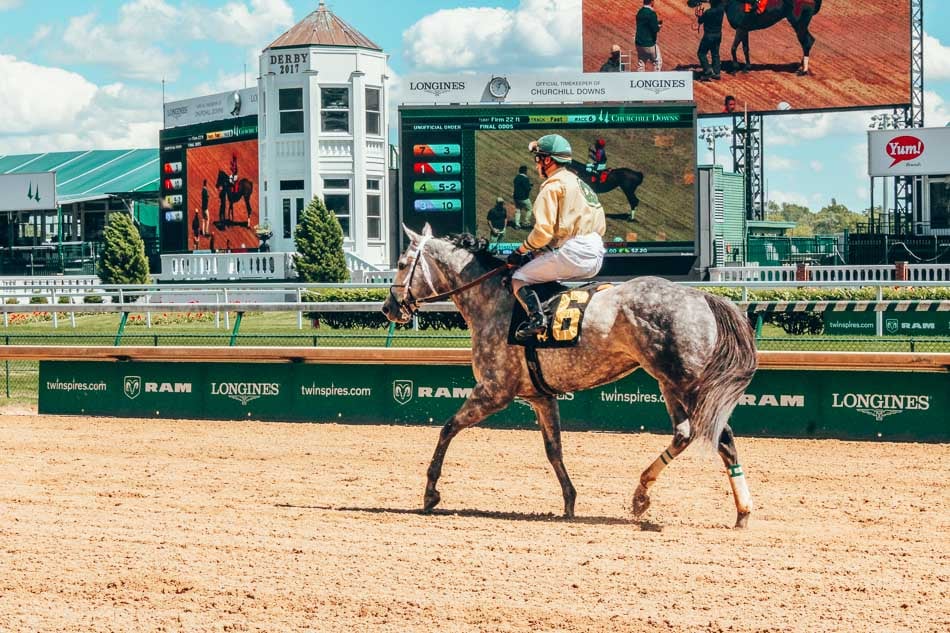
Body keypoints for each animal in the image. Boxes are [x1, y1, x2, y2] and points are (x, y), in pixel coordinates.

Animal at [384, 225, 764, 524]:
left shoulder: (494, 390)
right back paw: (643, 495)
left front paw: (430, 492)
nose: (389, 308)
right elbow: (554, 450)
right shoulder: (540, 396)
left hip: (688, 383)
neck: (494, 299)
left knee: (722, 437)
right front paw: (569, 500)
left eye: (402, 264)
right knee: (685, 434)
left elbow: (448, 428)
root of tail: (700, 295)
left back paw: (742, 510)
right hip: (669, 383)